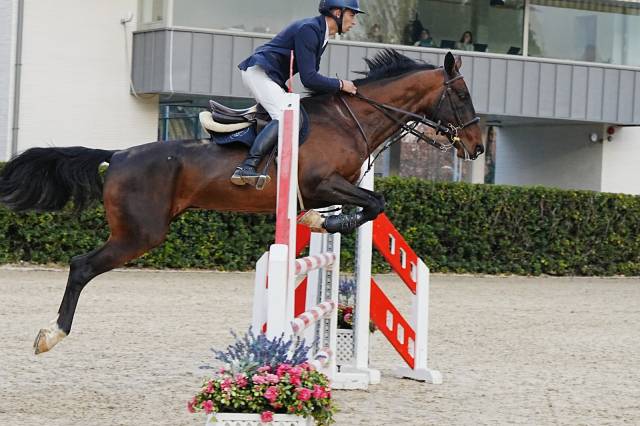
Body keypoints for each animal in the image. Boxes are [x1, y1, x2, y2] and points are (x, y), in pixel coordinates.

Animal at [0, 50, 483, 354]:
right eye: (461, 95)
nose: (477, 148)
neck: (352, 120)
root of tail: (117, 156)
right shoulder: (323, 183)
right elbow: (373, 202)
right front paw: (327, 223)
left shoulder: (334, 187)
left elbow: (370, 204)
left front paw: (322, 222)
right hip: (140, 234)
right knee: (81, 266)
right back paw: (51, 334)